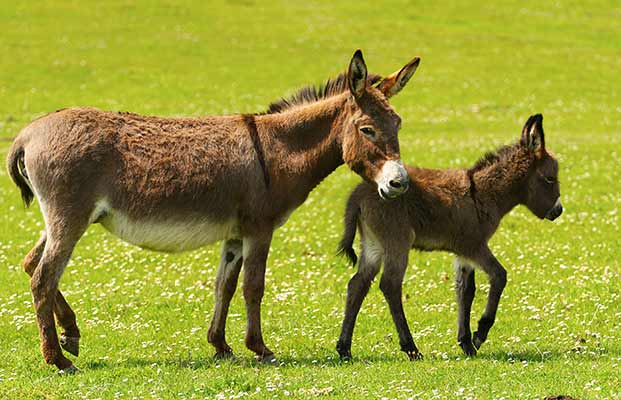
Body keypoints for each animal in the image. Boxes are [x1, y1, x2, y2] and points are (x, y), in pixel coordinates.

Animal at [336, 113, 564, 360]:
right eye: (550, 178)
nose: (558, 211)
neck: (482, 193)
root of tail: (357, 195)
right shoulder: (474, 245)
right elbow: (499, 276)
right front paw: (480, 333)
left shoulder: (464, 254)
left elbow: (465, 291)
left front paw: (466, 343)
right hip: (397, 242)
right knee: (390, 285)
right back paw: (410, 348)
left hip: (373, 244)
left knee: (358, 284)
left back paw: (344, 348)